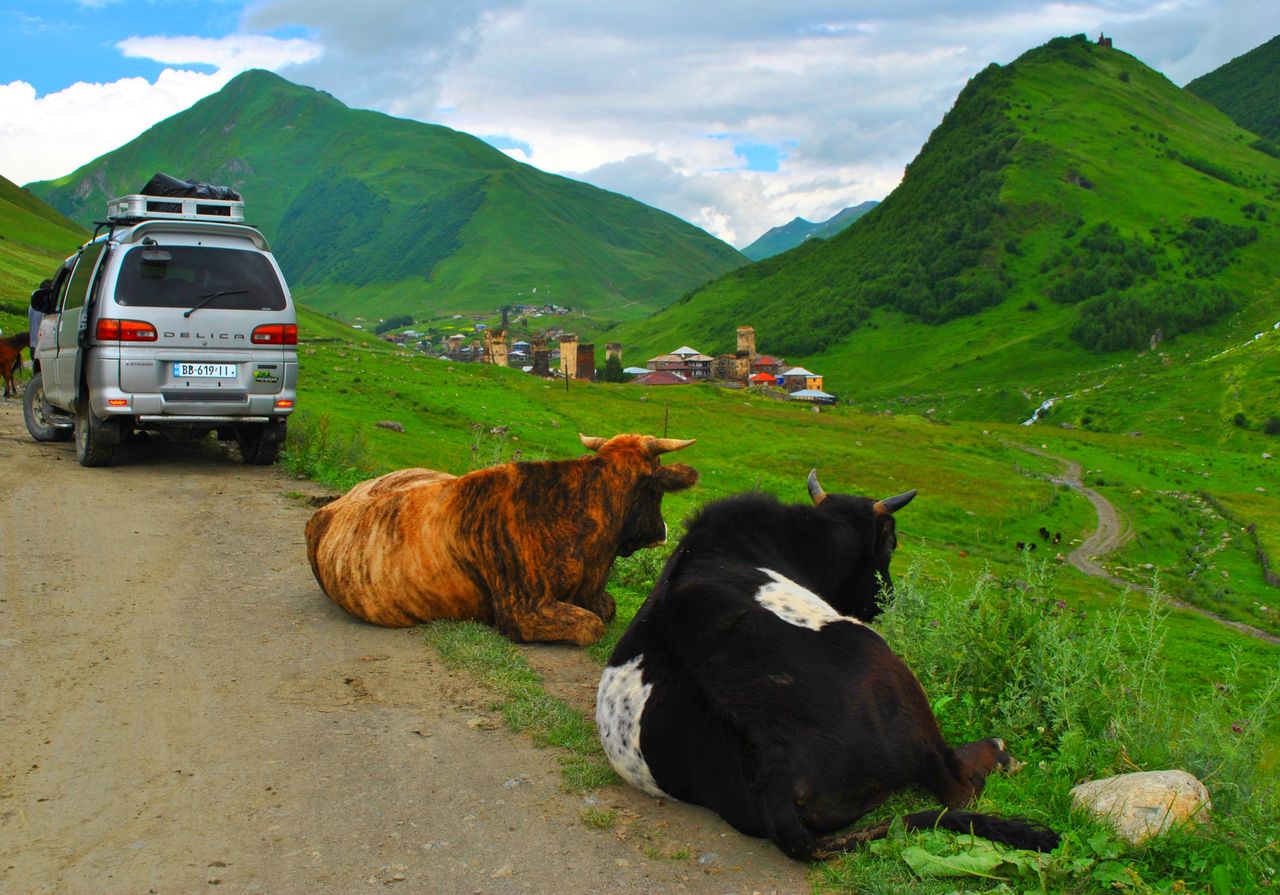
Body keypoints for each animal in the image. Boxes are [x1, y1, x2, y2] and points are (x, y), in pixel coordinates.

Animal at [303, 432, 696, 645]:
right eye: (657, 490)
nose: (663, 531)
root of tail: (339, 501)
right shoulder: (523, 610)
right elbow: (593, 624)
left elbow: (608, 607)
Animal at [593, 473, 1054, 865]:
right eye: (890, 544)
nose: (884, 600)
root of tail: (776, 770)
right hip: (888, 671)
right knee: (957, 786)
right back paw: (999, 752)